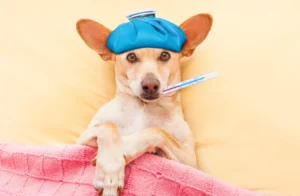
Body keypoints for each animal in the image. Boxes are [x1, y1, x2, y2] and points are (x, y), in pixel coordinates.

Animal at [76, 11, 213, 196]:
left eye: (165, 55)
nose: (150, 85)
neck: (142, 107)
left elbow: (157, 131)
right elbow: (109, 126)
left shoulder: (190, 164)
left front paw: (126, 146)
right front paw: (110, 167)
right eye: (131, 56)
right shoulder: (81, 140)